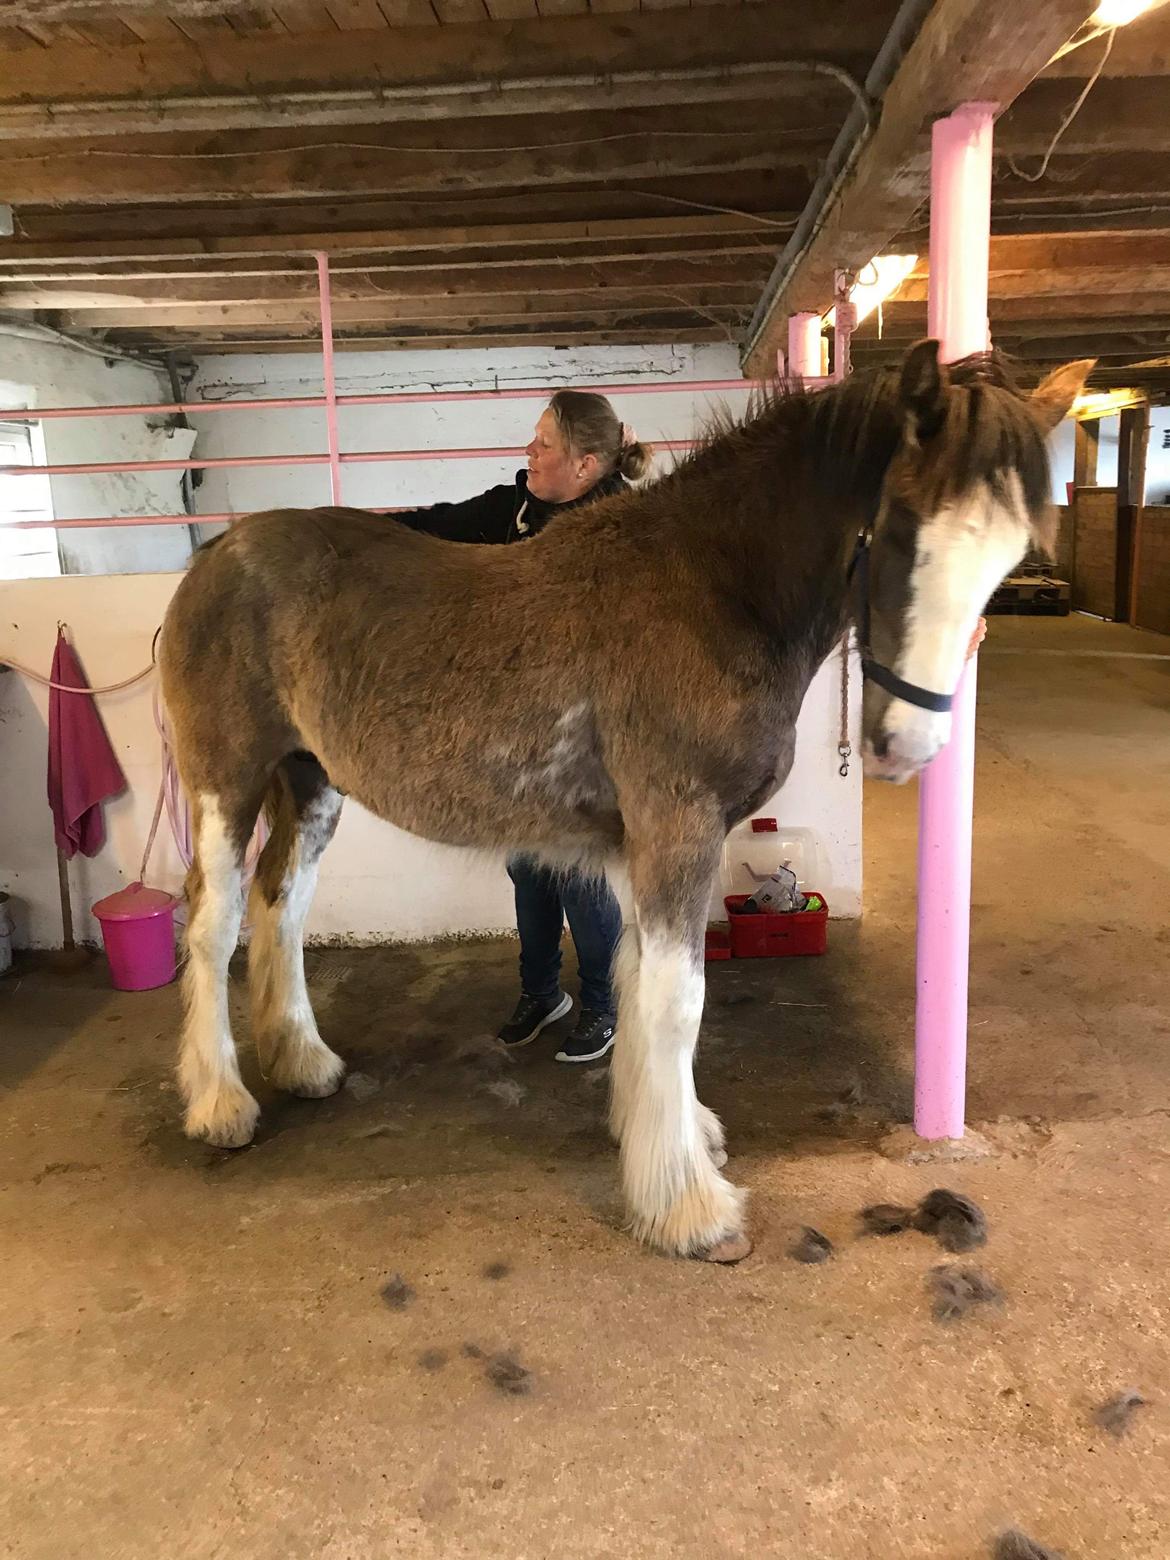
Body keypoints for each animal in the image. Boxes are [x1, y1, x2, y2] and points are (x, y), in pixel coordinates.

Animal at [160, 344, 1098, 1266]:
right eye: (901, 527)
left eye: (1010, 554)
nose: (906, 745)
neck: (717, 586)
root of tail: (217, 557)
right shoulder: (676, 831)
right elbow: (678, 1004)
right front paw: (691, 1209)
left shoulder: (659, 842)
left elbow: (638, 979)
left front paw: (674, 1138)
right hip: (224, 784)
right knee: (212, 923)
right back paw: (219, 1106)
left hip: (311, 784)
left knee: (281, 905)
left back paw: (302, 1061)